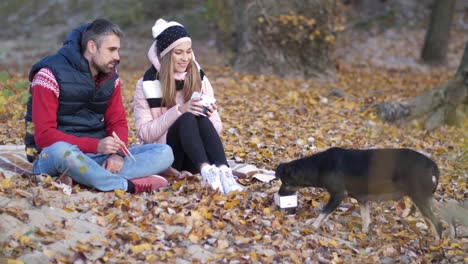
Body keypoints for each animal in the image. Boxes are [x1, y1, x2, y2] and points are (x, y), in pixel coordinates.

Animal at [276, 146, 444, 239]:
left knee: (437, 223)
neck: (319, 166)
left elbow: (323, 213)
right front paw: (364, 232)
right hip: (427, 197)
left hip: (419, 197)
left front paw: (313, 225)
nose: (280, 194)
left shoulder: (338, 194)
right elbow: (365, 219)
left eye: (285, 182)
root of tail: (433, 165)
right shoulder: (362, 199)